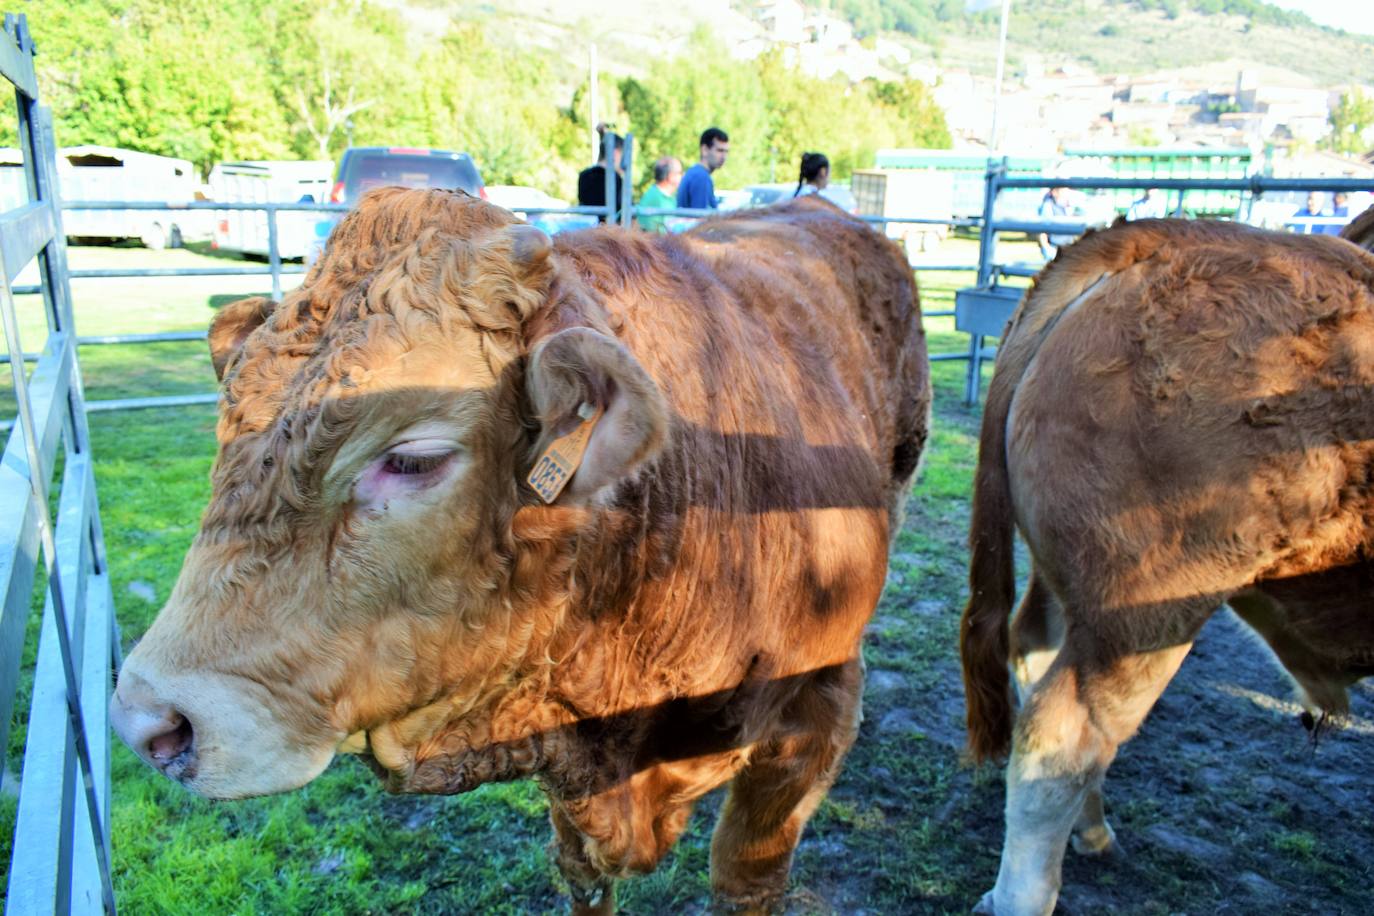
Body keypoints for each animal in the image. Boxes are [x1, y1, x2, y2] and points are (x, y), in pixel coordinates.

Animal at [961, 216, 1374, 916]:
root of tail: (1153, 238)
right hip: (1148, 614)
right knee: (1061, 737)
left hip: (1078, 594)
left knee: (1038, 661)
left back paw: (1093, 831)